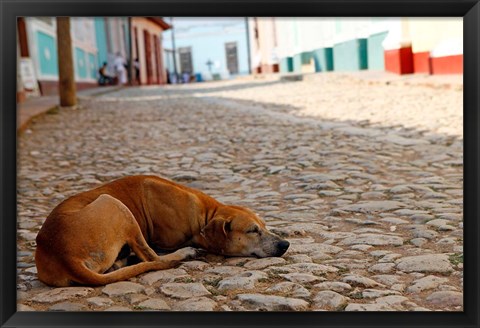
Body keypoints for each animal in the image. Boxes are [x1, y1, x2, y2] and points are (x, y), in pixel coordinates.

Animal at [35, 176, 290, 286]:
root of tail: (62, 253)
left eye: (264, 226)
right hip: (115, 204)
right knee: (153, 259)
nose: (284, 244)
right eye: (253, 231)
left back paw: (120, 261)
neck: (205, 213)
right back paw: (182, 254)